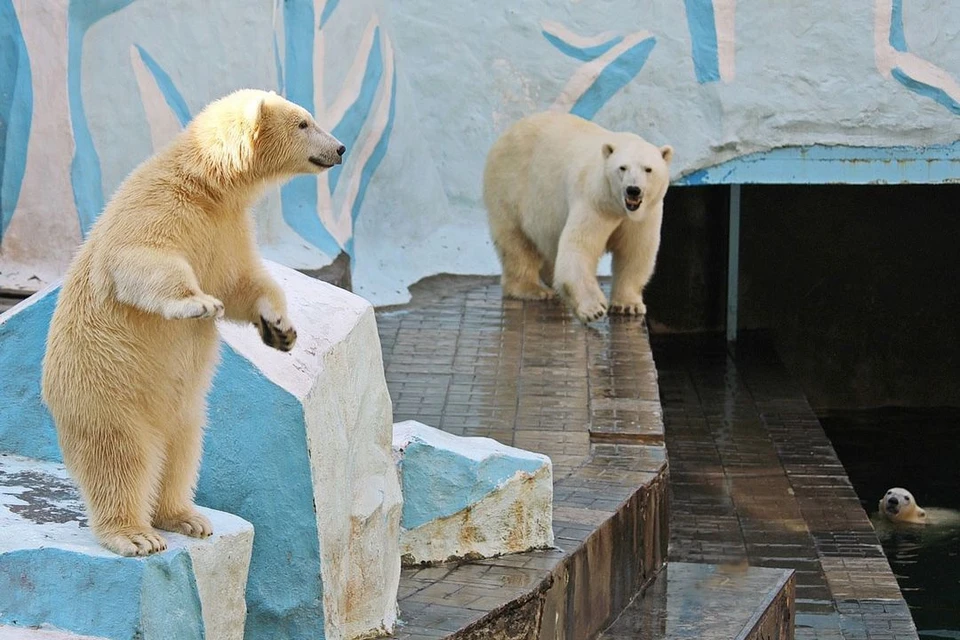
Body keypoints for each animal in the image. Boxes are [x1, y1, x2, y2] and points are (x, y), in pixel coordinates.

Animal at [43, 89, 348, 556]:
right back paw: (134, 534)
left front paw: (281, 328)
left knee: (182, 452)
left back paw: (185, 517)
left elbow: (242, 281)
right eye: (303, 123)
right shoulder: (159, 206)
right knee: (120, 458)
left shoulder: (225, 228)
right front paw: (197, 304)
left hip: (184, 411)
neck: (205, 183)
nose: (340, 148)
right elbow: (141, 257)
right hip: (105, 388)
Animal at [480, 111, 676, 324]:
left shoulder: (644, 215)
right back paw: (532, 289)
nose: (633, 190)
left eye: (648, 169)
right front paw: (594, 309)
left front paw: (628, 305)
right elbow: (580, 248)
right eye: (622, 168)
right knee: (516, 242)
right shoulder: (594, 202)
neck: (618, 206)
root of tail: (508, 132)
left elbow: (634, 252)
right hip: (510, 184)